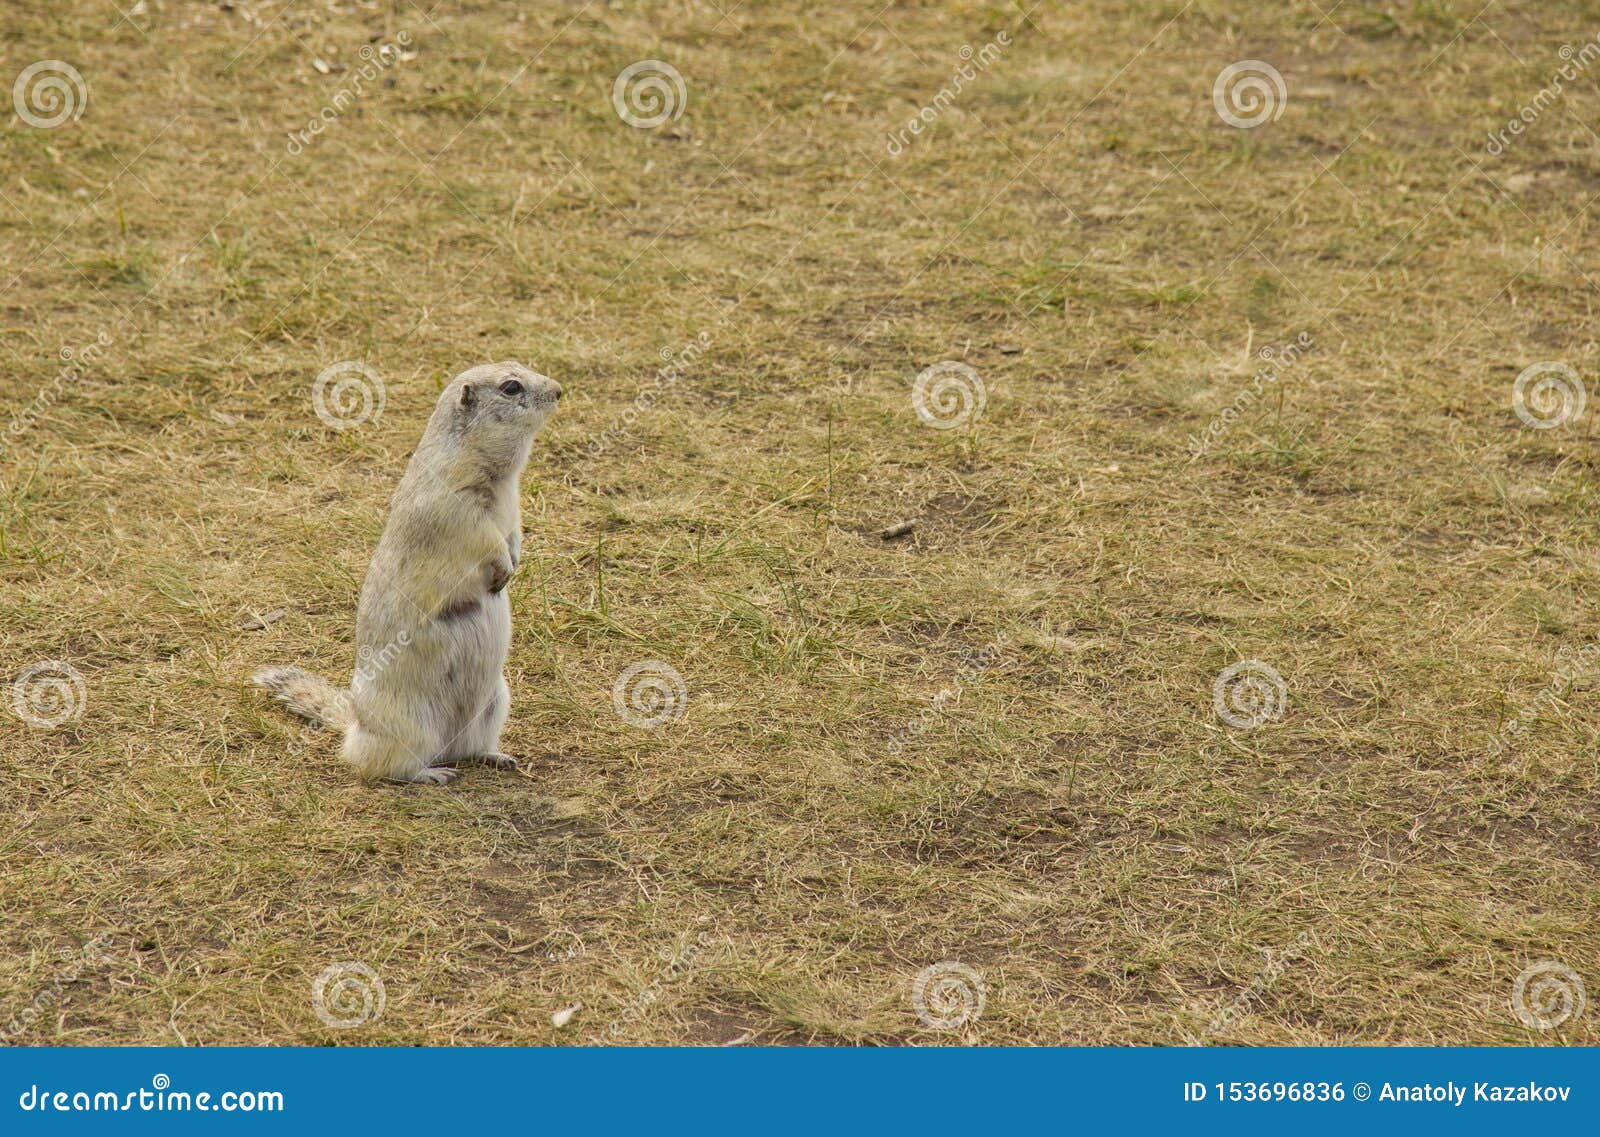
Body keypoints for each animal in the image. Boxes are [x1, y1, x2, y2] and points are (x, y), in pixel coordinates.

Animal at [254, 363, 563, 783]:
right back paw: (431, 774)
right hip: (408, 724)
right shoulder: (457, 509)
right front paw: (502, 569)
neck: (499, 476)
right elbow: (485, 540)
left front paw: (514, 564)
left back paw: (495, 756)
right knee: (383, 765)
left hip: (495, 703)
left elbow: (514, 534)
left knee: (465, 749)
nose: (559, 390)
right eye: (511, 387)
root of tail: (354, 726)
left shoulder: (513, 507)